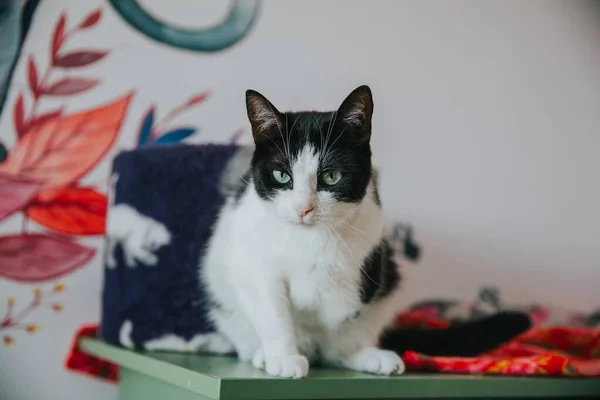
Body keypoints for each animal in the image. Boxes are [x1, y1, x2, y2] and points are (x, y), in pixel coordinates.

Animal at [203, 85, 408, 378]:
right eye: (281, 175)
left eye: (331, 176)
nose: (303, 208)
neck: (307, 238)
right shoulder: (254, 266)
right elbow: (274, 312)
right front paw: (284, 357)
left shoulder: (365, 260)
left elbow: (343, 310)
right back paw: (267, 355)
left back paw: (368, 356)